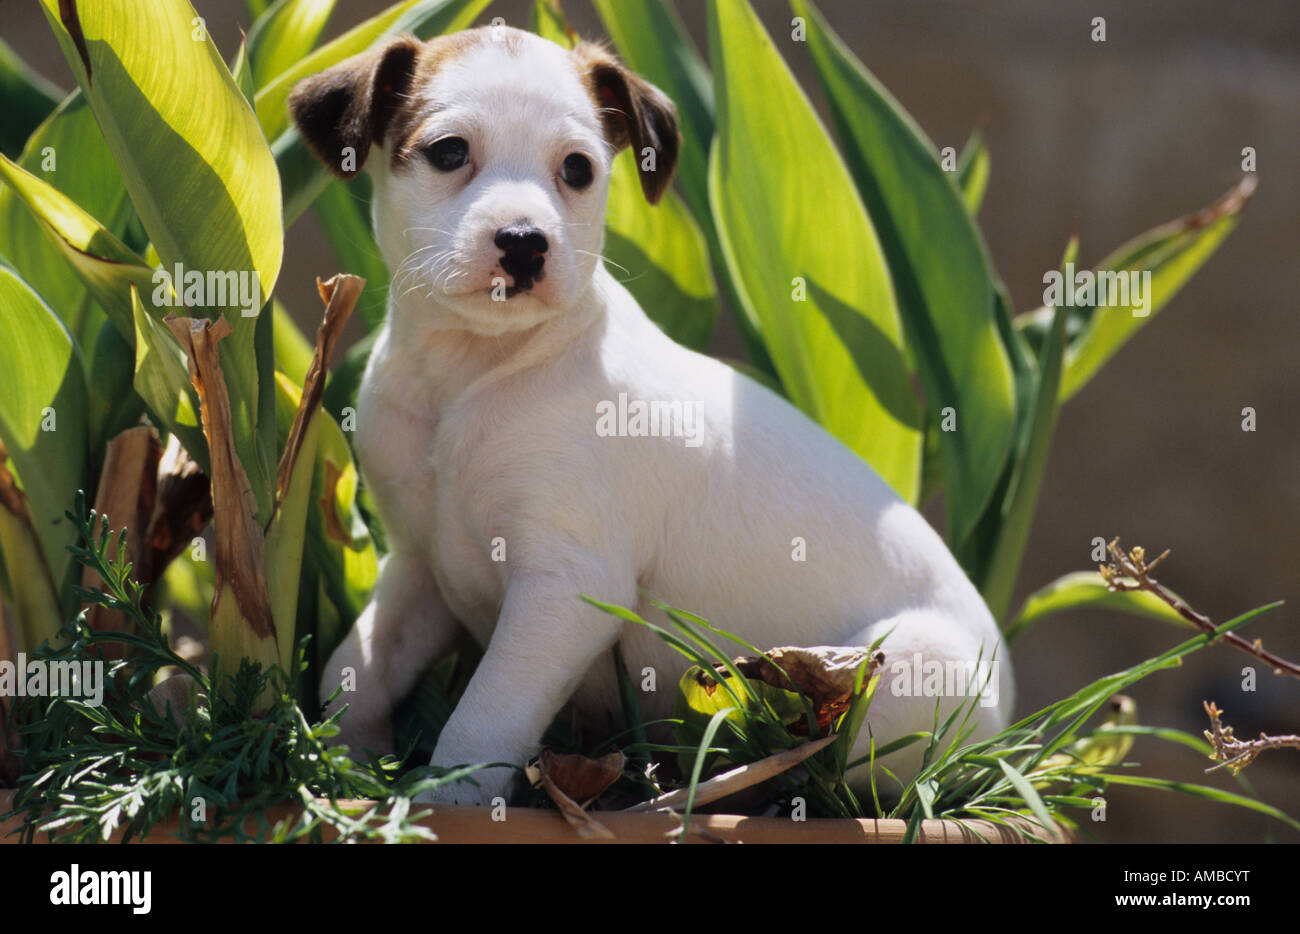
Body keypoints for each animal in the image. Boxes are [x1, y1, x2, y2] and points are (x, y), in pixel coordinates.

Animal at [289, 25, 1008, 806]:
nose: (524, 242)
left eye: (577, 169)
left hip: (891, 679)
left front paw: (445, 800)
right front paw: (345, 760)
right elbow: (357, 667)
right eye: (449, 152)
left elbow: (485, 715)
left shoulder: (566, 585)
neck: (475, 372)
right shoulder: (419, 565)